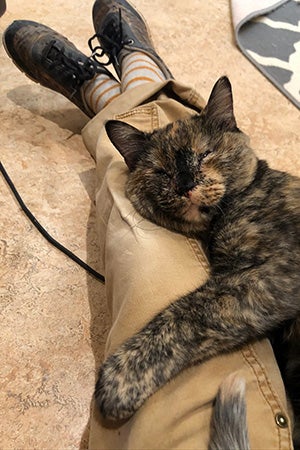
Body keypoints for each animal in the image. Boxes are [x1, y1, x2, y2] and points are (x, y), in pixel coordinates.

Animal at [95, 76, 298, 446]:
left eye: (205, 154)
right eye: (161, 172)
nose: (186, 185)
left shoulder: (272, 274)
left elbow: (186, 312)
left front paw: (121, 378)